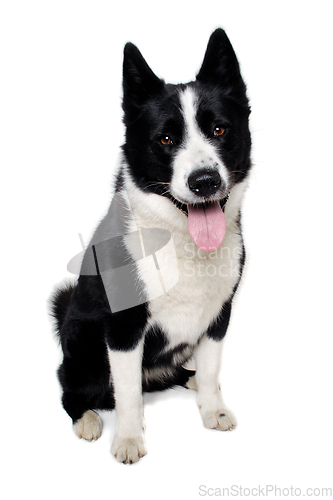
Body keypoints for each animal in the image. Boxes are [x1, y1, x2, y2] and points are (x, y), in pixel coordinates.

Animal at [51, 29, 249, 462]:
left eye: (220, 130)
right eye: (166, 138)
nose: (205, 181)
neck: (178, 242)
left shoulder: (219, 312)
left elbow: (211, 369)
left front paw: (212, 409)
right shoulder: (124, 326)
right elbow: (126, 392)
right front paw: (127, 439)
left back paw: (188, 379)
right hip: (83, 346)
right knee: (71, 386)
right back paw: (87, 418)